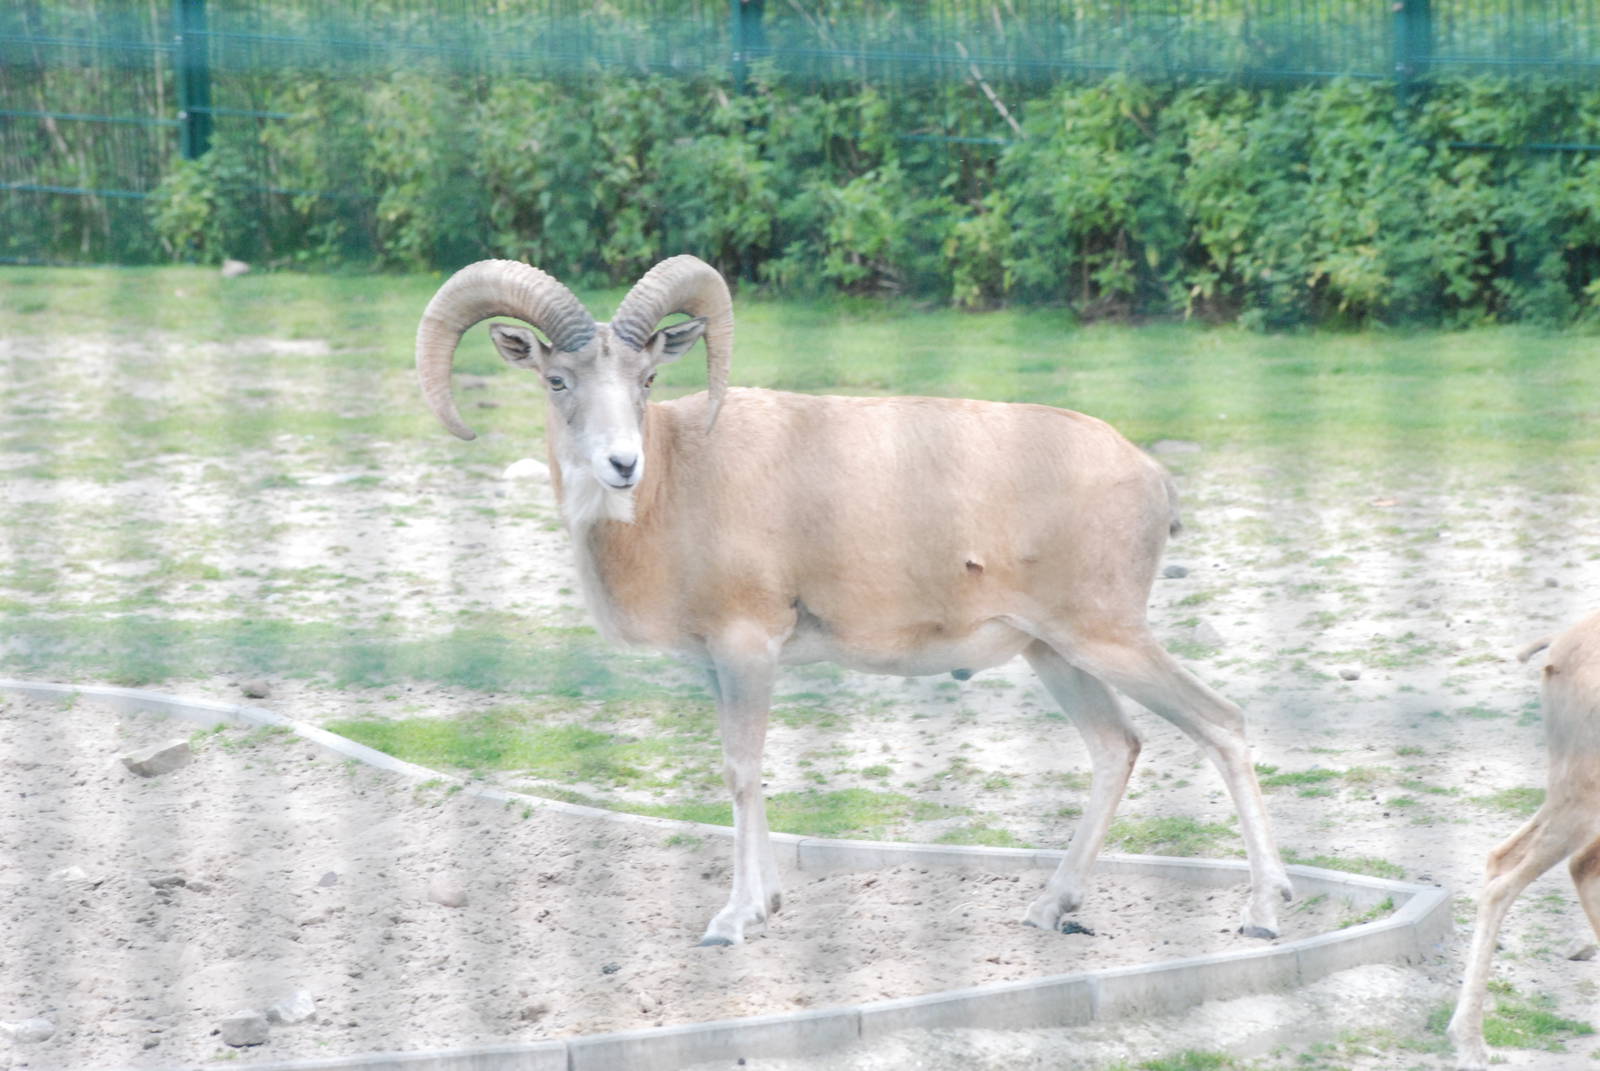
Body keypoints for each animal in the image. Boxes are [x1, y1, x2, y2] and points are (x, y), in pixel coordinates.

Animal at [415, 254, 1293, 946]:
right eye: (557, 378)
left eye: (648, 379)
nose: (621, 464)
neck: (678, 485)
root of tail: (1151, 478)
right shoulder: (722, 665)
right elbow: (747, 770)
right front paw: (765, 903)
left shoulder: (748, 649)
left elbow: (740, 769)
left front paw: (732, 920)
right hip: (1056, 654)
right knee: (1118, 746)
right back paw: (1050, 907)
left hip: (1108, 638)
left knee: (1222, 724)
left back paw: (1264, 911)